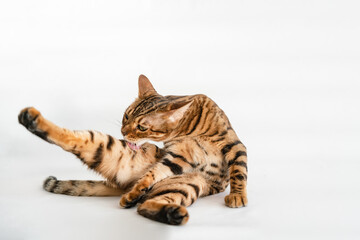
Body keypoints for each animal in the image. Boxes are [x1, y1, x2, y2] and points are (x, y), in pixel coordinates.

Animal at [19, 75, 248, 225]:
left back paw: (165, 211)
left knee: (145, 206)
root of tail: (123, 183)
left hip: (187, 184)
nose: (123, 131)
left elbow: (239, 172)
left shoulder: (234, 145)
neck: (187, 130)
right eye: (126, 116)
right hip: (115, 150)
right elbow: (154, 172)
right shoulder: (177, 157)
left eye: (142, 127)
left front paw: (238, 197)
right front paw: (140, 188)